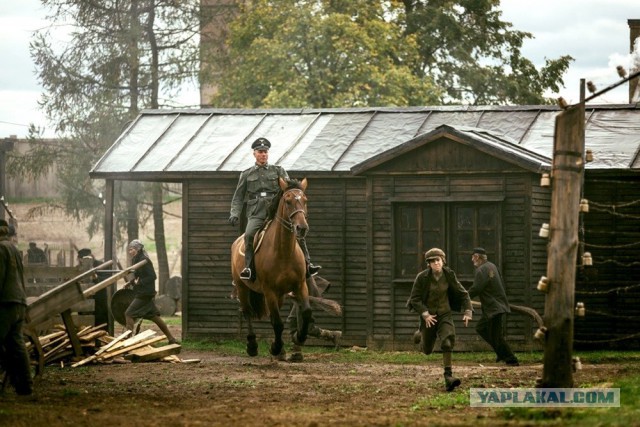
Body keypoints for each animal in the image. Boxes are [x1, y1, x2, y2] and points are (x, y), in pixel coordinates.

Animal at [231, 177, 314, 358]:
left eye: (305, 200)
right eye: (288, 201)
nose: (302, 228)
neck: (284, 252)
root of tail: (237, 241)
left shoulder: (300, 285)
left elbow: (306, 311)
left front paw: (299, 337)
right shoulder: (269, 290)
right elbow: (277, 323)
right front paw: (275, 348)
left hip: (280, 294)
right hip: (242, 288)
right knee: (247, 312)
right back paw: (252, 346)